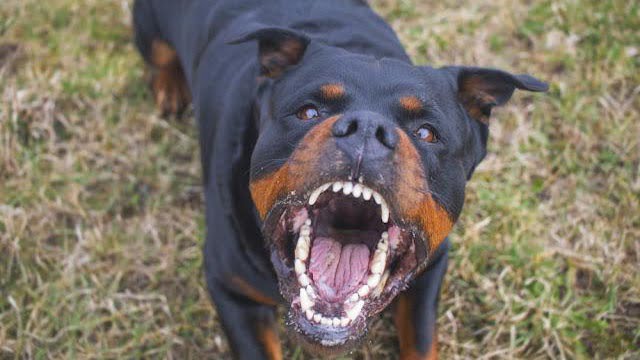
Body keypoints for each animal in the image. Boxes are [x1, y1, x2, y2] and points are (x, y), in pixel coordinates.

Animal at [132, 0, 548, 358]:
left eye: (427, 133)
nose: (366, 127)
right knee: (160, 56)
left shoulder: (430, 268)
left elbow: (422, 341)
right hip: (149, 31)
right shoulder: (230, 288)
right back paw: (170, 86)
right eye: (308, 112)